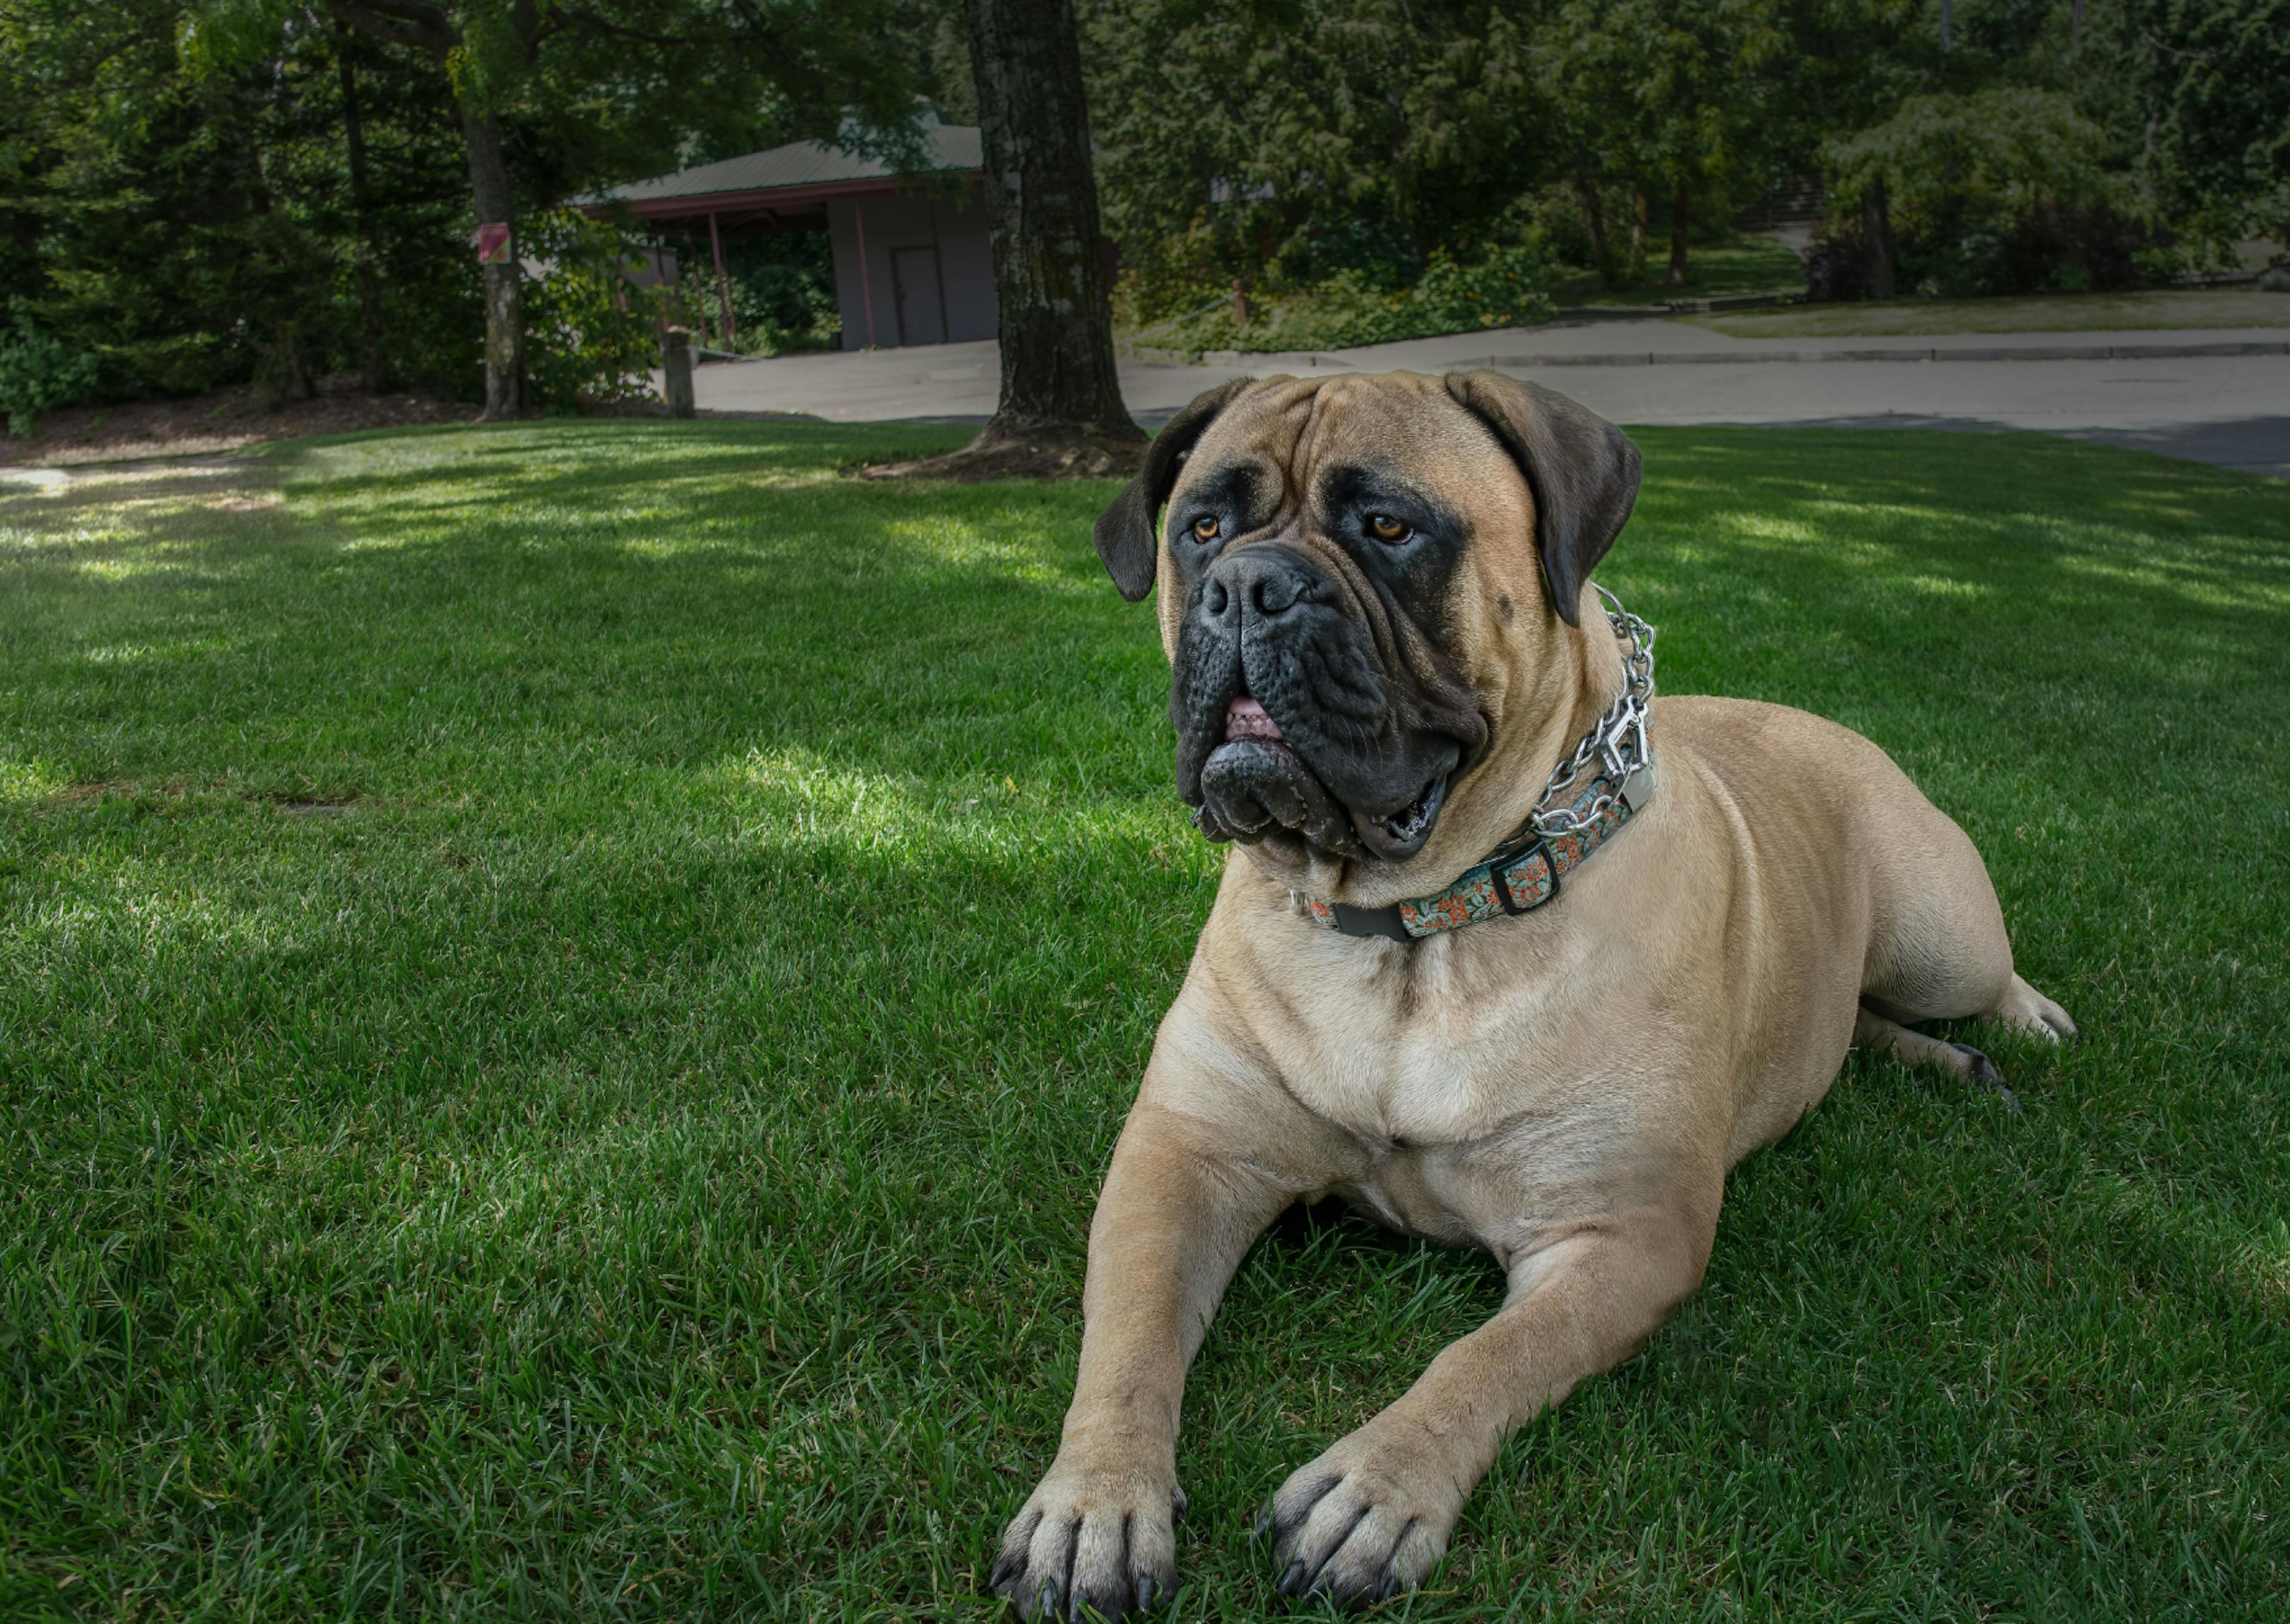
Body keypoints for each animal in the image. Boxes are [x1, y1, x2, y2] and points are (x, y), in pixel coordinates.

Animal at [985, 373, 2079, 1612]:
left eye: (1390, 526)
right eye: (1202, 527)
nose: (1248, 585)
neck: (1419, 926)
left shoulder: (1619, 1233)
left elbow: (1484, 1356)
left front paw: (1376, 1485)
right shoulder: (1182, 1156)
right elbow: (1127, 1339)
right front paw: (1094, 1501)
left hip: (1937, 933)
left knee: (1962, 977)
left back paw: (2019, 1025)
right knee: (1853, 1023)